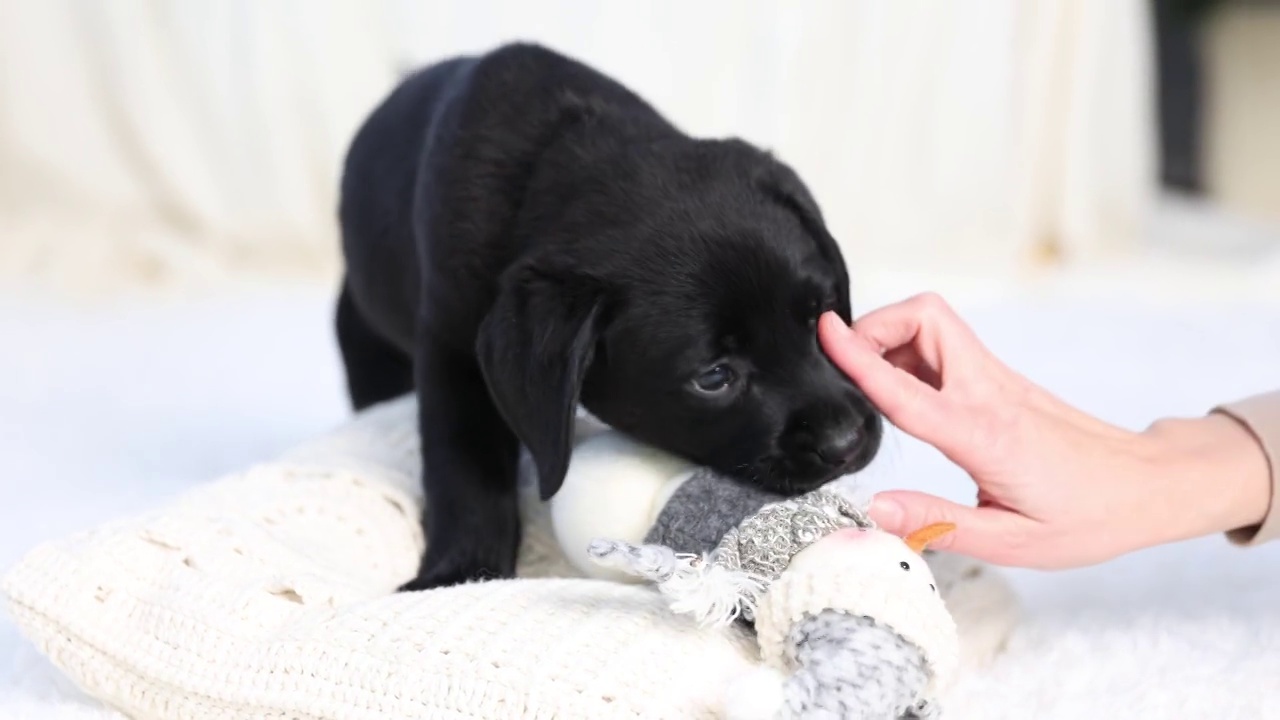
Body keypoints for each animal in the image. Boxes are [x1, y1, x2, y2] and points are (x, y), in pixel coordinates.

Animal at [335, 41, 885, 589]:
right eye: (713, 377)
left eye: (823, 314)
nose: (846, 441)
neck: (553, 151)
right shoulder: (451, 348)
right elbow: (465, 461)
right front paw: (462, 570)